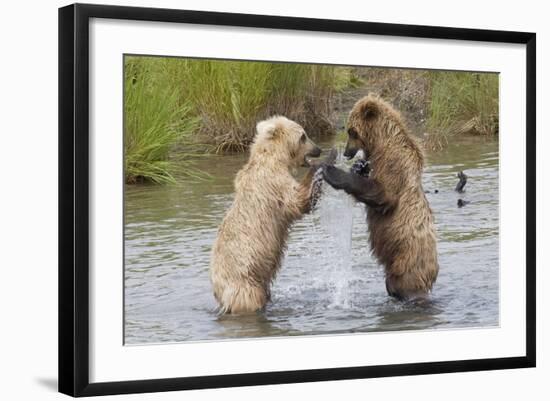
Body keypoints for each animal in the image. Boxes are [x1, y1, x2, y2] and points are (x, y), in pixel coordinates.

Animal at [210, 115, 332, 312]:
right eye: (303, 135)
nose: (318, 149)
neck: (274, 158)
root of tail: (220, 293)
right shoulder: (273, 183)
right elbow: (297, 202)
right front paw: (320, 166)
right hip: (245, 283)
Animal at [324, 94, 440, 300]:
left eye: (351, 131)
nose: (346, 152)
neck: (380, 143)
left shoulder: (394, 163)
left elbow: (384, 194)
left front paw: (333, 172)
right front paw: (358, 167)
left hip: (407, 259)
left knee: (404, 283)